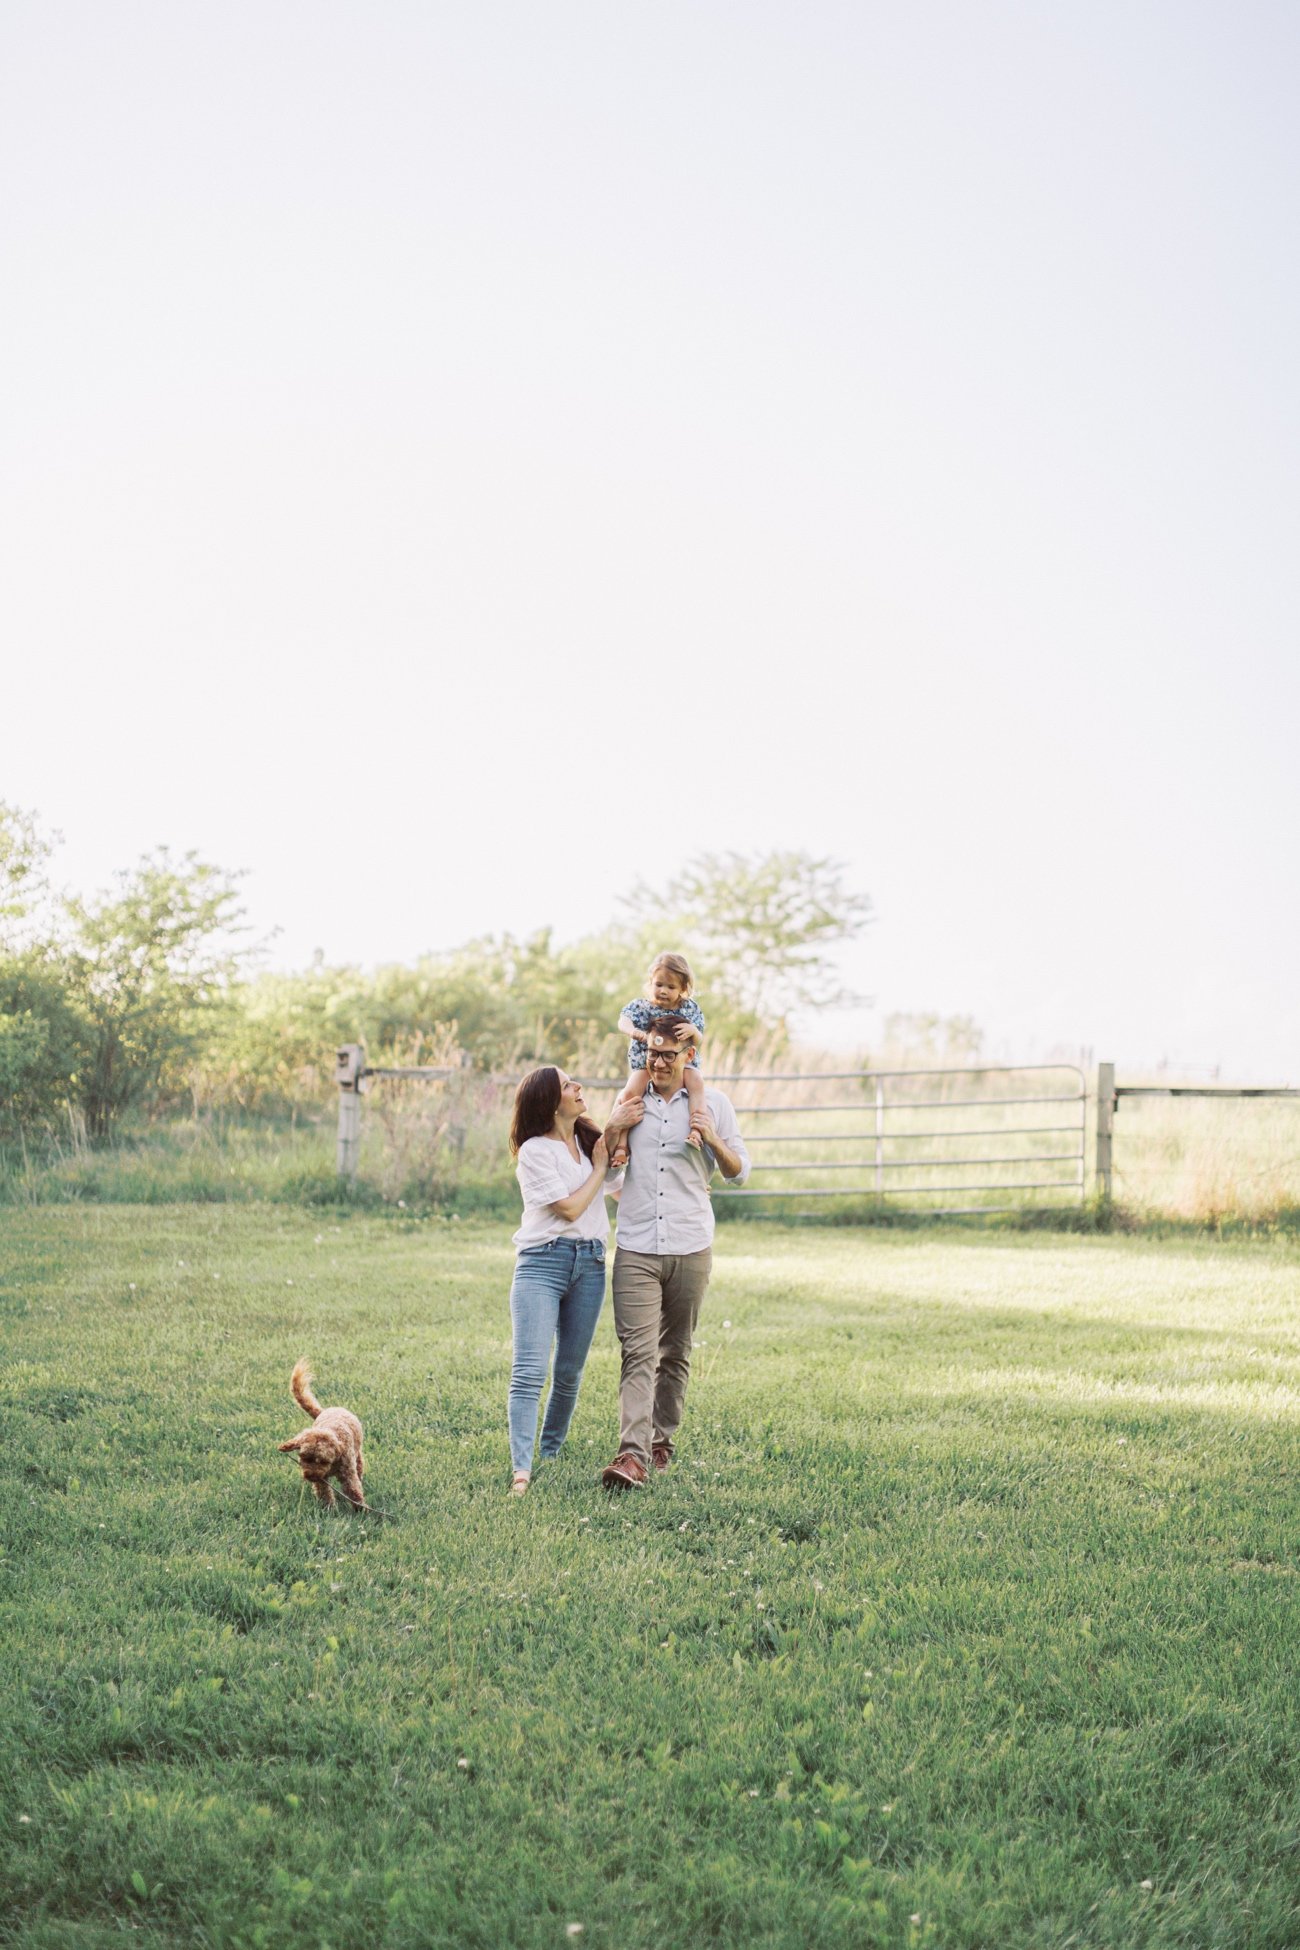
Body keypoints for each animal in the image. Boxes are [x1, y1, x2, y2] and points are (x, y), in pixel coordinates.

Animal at [278, 1357, 366, 1505]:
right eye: (304, 1458)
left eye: (323, 1461)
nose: (311, 1476)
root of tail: (325, 1411)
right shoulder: (322, 1480)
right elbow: (324, 1493)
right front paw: (329, 1507)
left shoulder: (347, 1474)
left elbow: (354, 1492)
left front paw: (361, 1508)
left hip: (357, 1456)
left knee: (359, 1468)